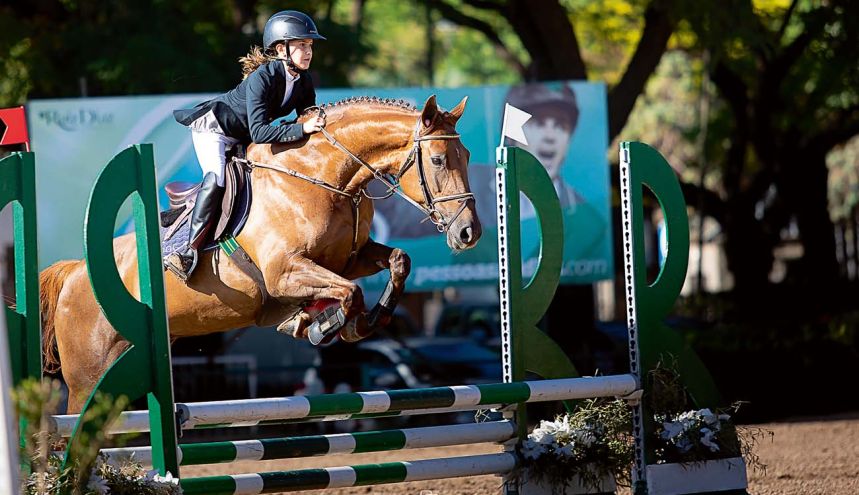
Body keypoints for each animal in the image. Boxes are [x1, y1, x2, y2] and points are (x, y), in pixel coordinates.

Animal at [40, 95, 480, 412]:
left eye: (468, 157)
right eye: (438, 160)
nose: (469, 232)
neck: (323, 176)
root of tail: (75, 271)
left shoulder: (347, 260)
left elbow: (398, 261)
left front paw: (358, 320)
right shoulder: (285, 272)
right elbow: (350, 293)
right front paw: (326, 325)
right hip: (89, 378)